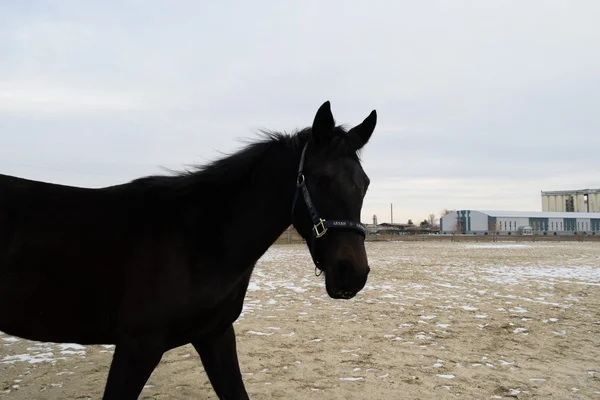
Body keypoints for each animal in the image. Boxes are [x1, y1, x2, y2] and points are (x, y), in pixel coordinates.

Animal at [0, 101, 376, 400]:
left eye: (365, 183)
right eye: (320, 179)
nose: (352, 274)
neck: (196, 241)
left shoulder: (215, 336)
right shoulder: (137, 346)